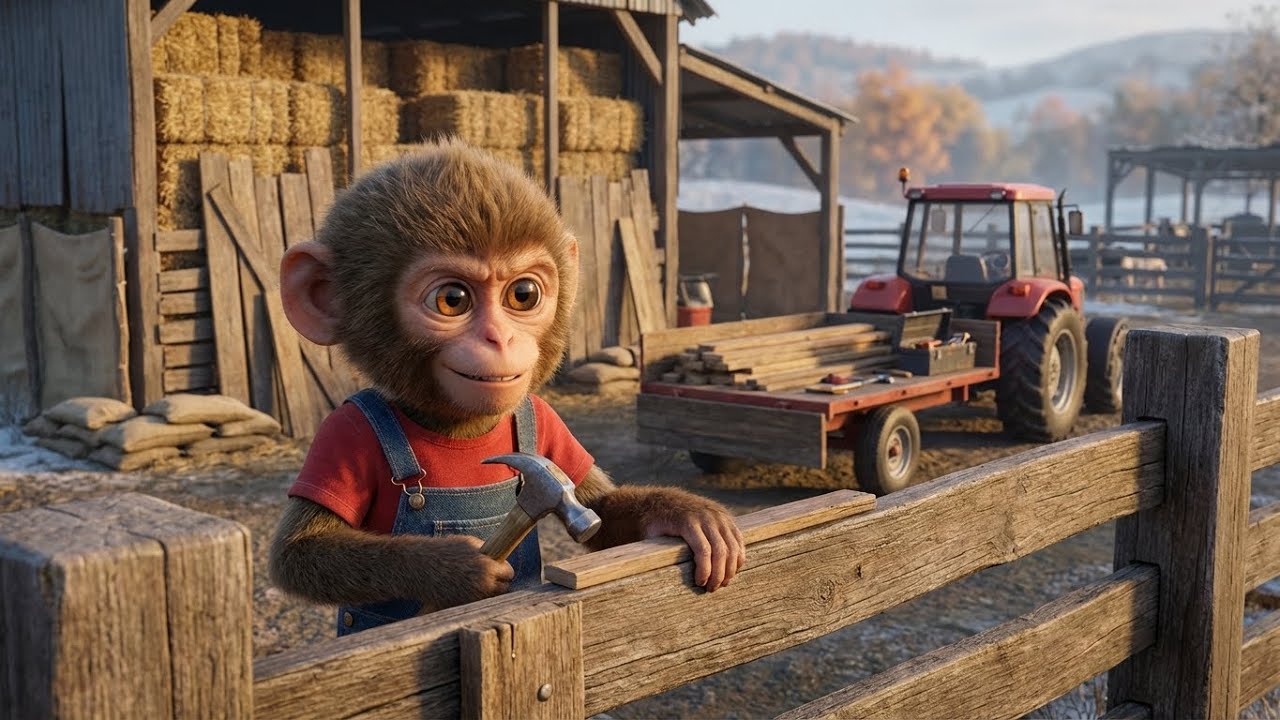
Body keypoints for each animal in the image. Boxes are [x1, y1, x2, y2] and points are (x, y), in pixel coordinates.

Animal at [269, 139, 746, 635]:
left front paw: (687, 515)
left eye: (524, 295)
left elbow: (599, 504)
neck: (460, 429)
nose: (499, 338)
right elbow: (299, 552)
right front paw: (459, 568)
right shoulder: (342, 435)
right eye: (452, 299)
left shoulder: (550, 441)